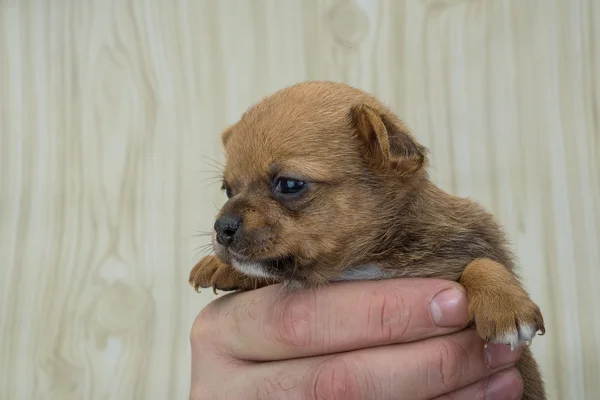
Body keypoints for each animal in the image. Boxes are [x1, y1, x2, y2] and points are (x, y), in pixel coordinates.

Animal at [190, 81, 548, 400]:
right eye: (228, 190)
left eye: (289, 184)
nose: (222, 227)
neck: (360, 263)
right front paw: (220, 267)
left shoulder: (467, 240)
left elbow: (481, 262)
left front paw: (504, 304)